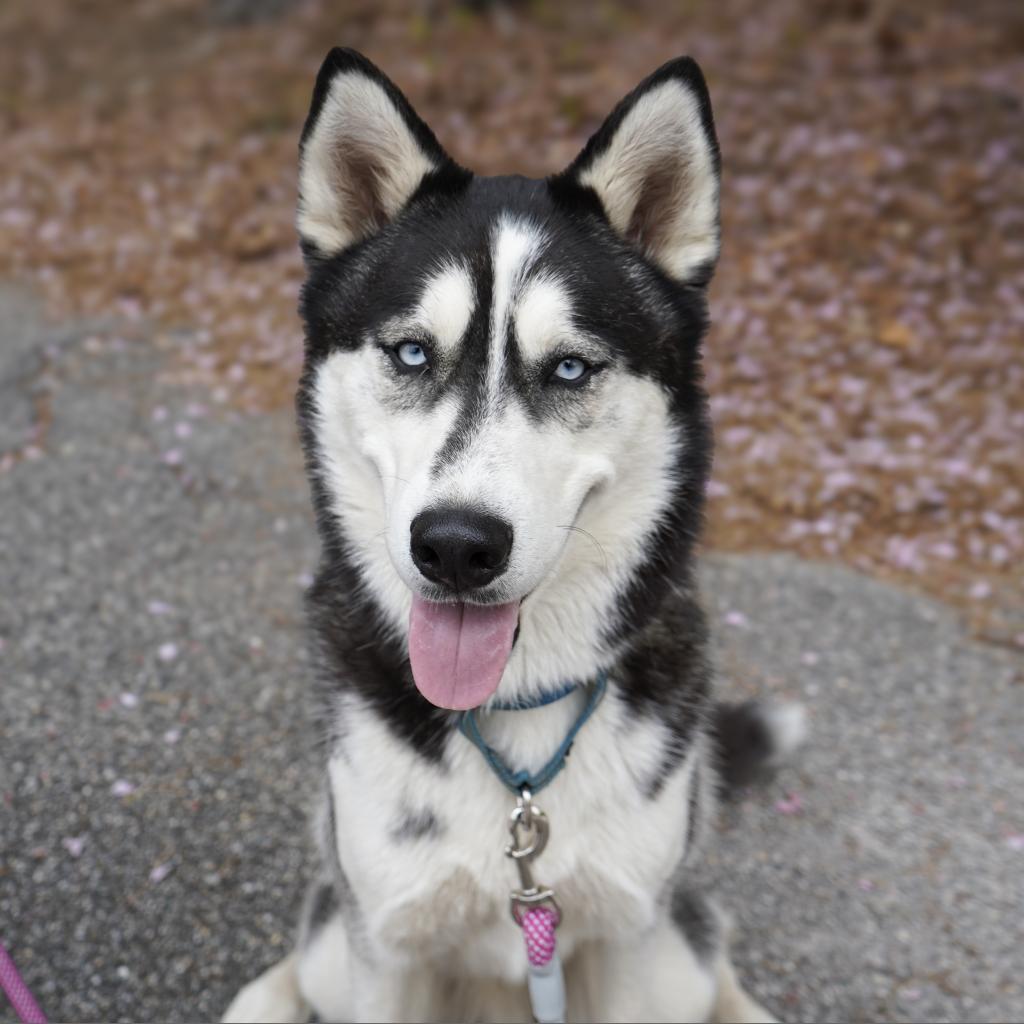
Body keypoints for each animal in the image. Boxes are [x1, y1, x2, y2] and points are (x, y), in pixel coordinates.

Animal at [223, 48, 804, 1023]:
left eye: (569, 367)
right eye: (412, 353)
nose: (456, 546)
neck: (518, 740)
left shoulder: (629, 941)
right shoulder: (388, 942)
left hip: (671, 941)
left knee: (710, 950)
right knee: (309, 949)